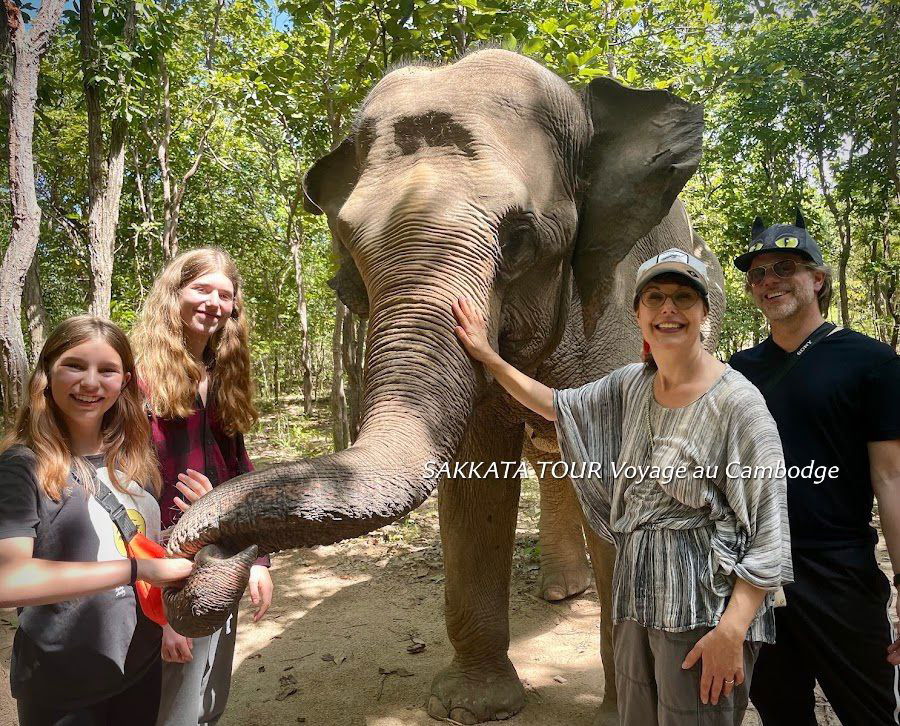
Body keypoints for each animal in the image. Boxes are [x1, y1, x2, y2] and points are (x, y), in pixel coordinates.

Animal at [162, 48, 724, 724]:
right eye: (347, 239)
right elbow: (473, 479)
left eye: (520, 239)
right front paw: (469, 706)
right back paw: (562, 592)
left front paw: (625, 713)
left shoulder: (616, 294)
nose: (213, 553)